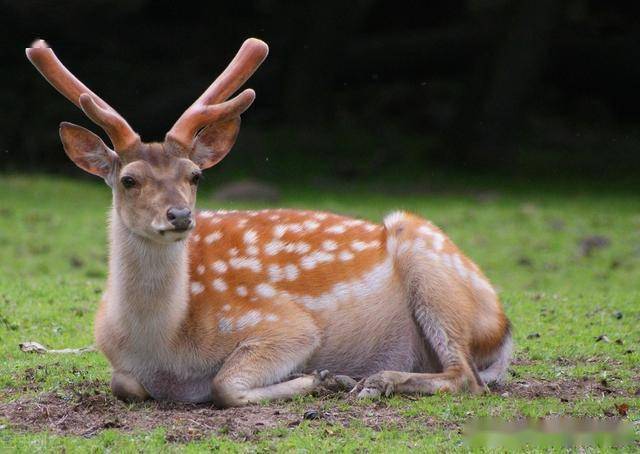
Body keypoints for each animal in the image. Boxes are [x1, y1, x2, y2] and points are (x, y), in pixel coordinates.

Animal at [27, 38, 512, 408]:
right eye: (129, 180)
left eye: (195, 175)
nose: (180, 215)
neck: (164, 348)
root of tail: (503, 328)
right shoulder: (117, 362)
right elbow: (124, 384)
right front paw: (326, 379)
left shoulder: (285, 324)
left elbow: (224, 385)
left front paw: (322, 378)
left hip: (433, 268)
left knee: (465, 377)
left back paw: (374, 381)